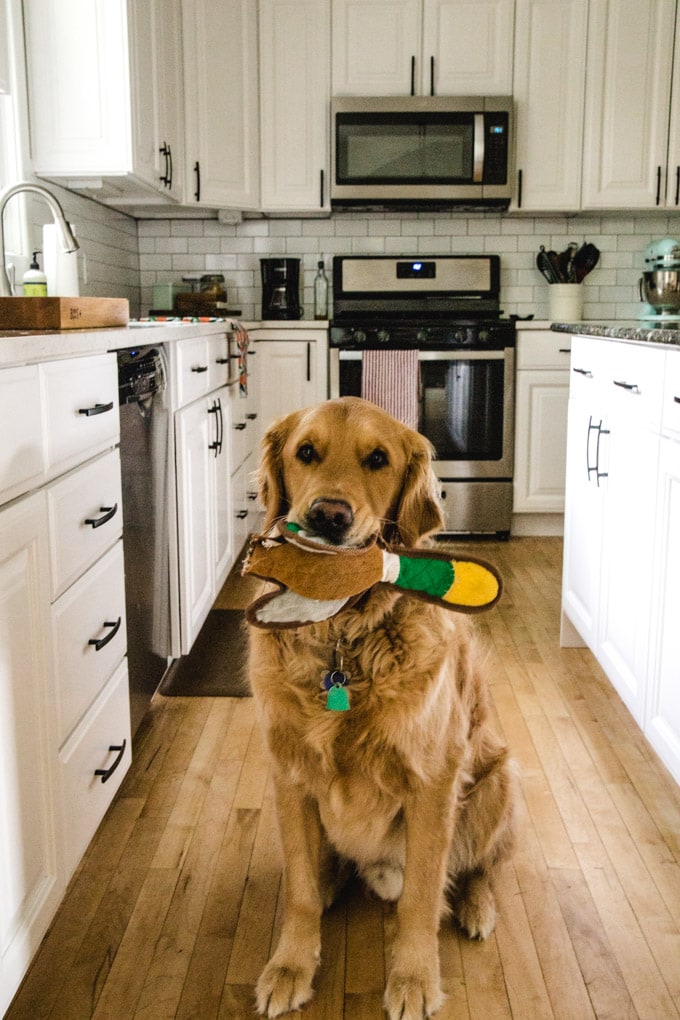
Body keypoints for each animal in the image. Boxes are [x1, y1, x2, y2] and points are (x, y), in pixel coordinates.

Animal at [249, 395, 515, 1020]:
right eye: (305, 452)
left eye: (378, 459)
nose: (329, 516)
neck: (343, 640)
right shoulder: (289, 775)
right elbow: (298, 890)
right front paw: (290, 966)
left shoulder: (432, 782)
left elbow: (420, 896)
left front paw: (415, 979)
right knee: (326, 872)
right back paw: (330, 883)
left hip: (494, 780)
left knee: (482, 866)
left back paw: (476, 907)